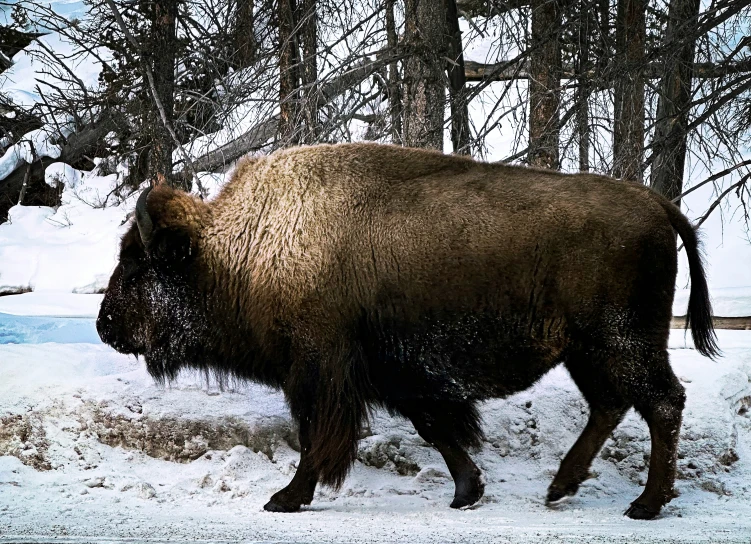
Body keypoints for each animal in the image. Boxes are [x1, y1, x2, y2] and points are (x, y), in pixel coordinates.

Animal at [97, 142, 720, 520]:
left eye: (137, 263)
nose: (105, 326)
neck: (243, 250)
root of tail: (658, 204)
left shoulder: (320, 371)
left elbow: (317, 439)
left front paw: (285, 498)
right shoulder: (397, 377)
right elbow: (437, 429)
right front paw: (468, 493)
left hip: (622, 343)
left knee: (662, 402)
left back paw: (645, 504)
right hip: (588, 352)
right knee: (611, 405)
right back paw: (560, 487)